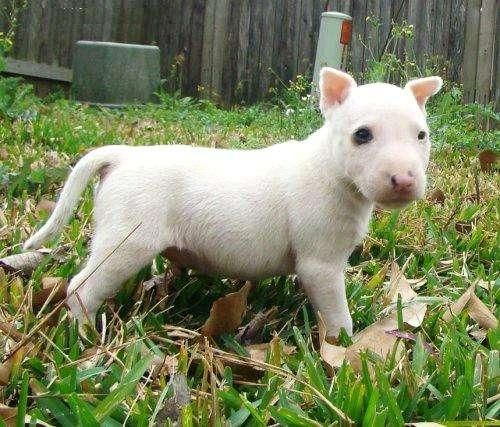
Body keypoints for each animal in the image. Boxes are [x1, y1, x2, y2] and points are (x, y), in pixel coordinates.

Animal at [23, 68, 442, 340]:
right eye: (361, 135)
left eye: (421, 135)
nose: (405, 181)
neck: (331, 169)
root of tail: (122, 156)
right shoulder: (320, 265)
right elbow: (338, 316)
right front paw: (343, 349)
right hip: (126, 242)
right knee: (82, 288)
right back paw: (85, 336)